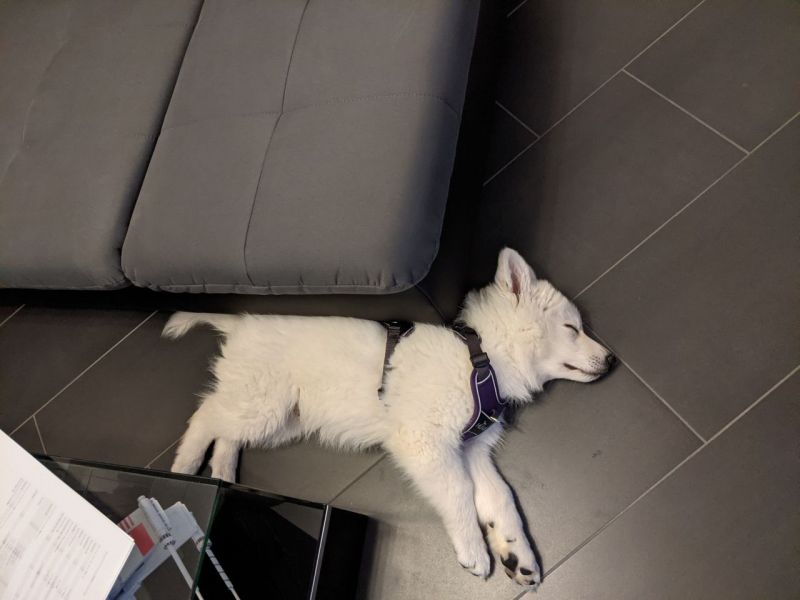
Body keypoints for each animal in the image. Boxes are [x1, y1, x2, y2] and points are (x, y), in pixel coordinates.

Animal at [164, 248, 614, 587]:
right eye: (572, 328)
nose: (611, 360)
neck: (481, 356)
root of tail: (240, 324)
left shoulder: (470, 449)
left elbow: (499, 495)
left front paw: (517, 555)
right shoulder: (424, 441)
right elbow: (460, 492)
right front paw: (473, 549)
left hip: (279, 417)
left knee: (225, 430)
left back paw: (223, 474)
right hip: (264, 405)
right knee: (205, 415)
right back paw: (186, 467)